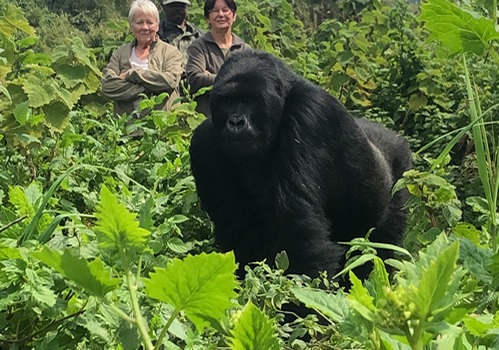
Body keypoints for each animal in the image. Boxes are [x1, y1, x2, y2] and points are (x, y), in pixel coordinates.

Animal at [189, 49, 412, 280]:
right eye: (227, 101)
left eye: (250, 99)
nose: (235, 122)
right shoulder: (204, 143)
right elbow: (237, 234)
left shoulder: (310, 114)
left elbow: (298, 229)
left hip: (402, 174)